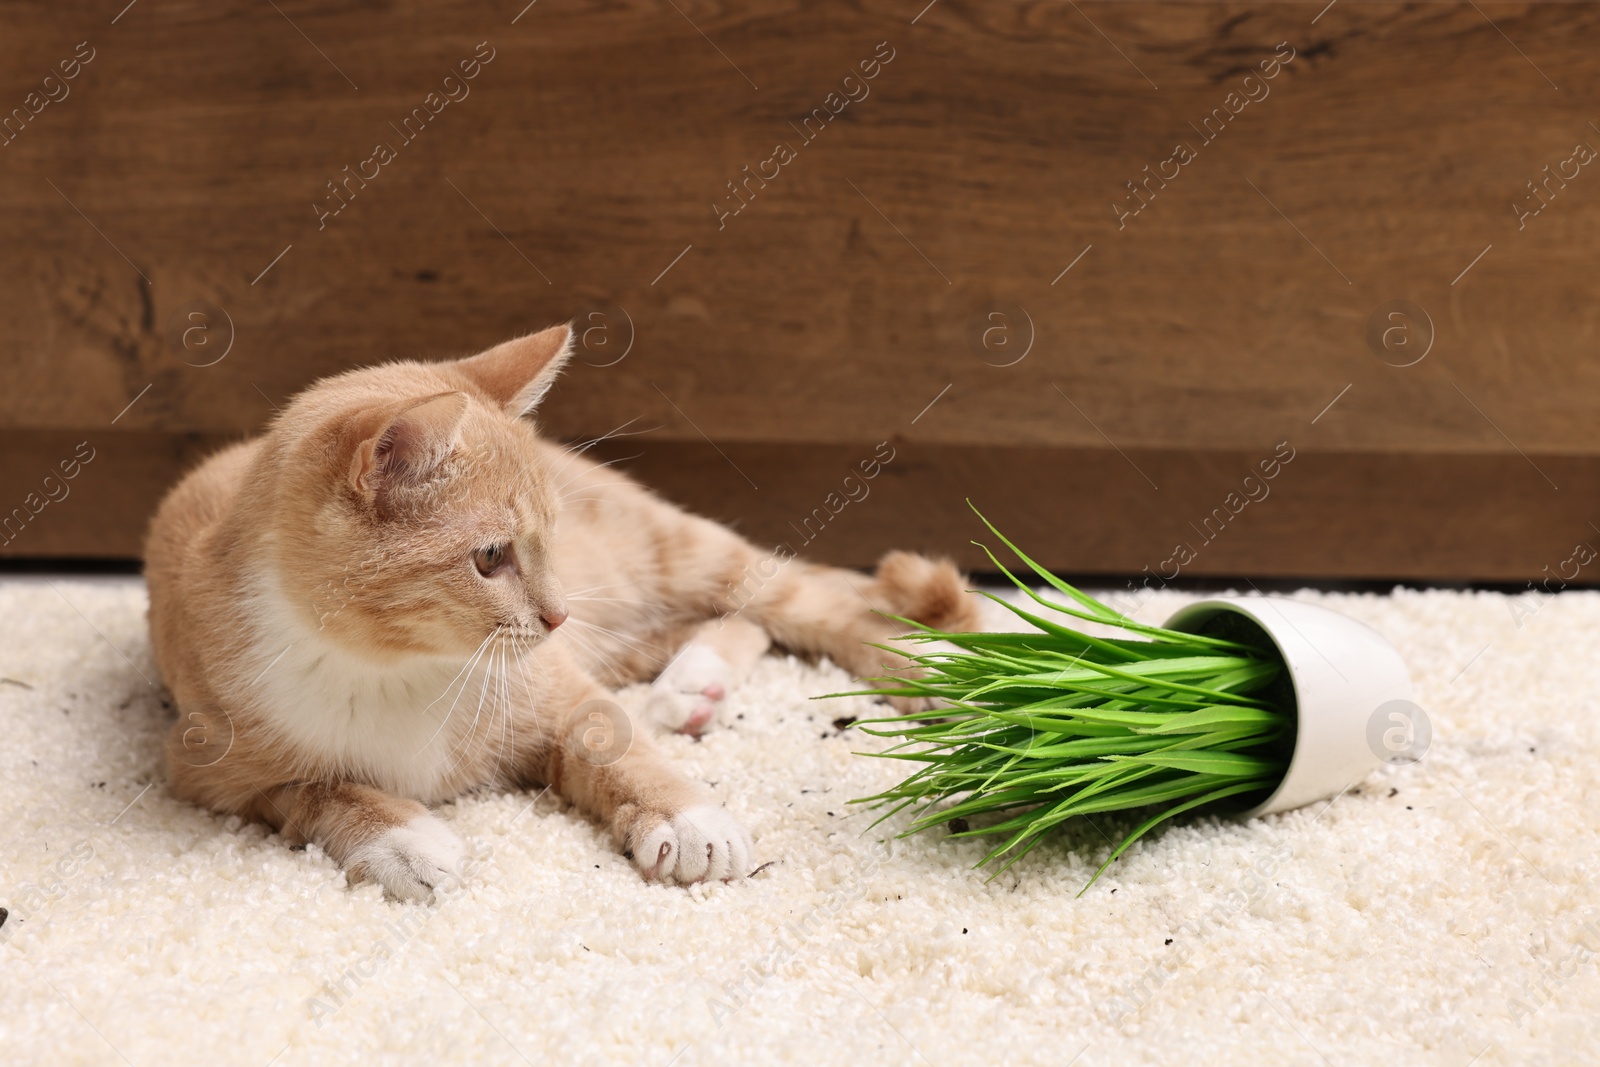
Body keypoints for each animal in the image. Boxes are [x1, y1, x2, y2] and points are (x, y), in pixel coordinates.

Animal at [147, 326, 972, 902]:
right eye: (490, 557)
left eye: (550, 535)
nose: (557, 615)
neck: (394, 667)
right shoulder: (209, 769)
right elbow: (318, 788)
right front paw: (403, 839)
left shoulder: (562, 686)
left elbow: (617, 742)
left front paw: (689, 818)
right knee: (740, 624)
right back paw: (692, 687)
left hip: (676, 555)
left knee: (801, 602)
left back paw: (934, 665)